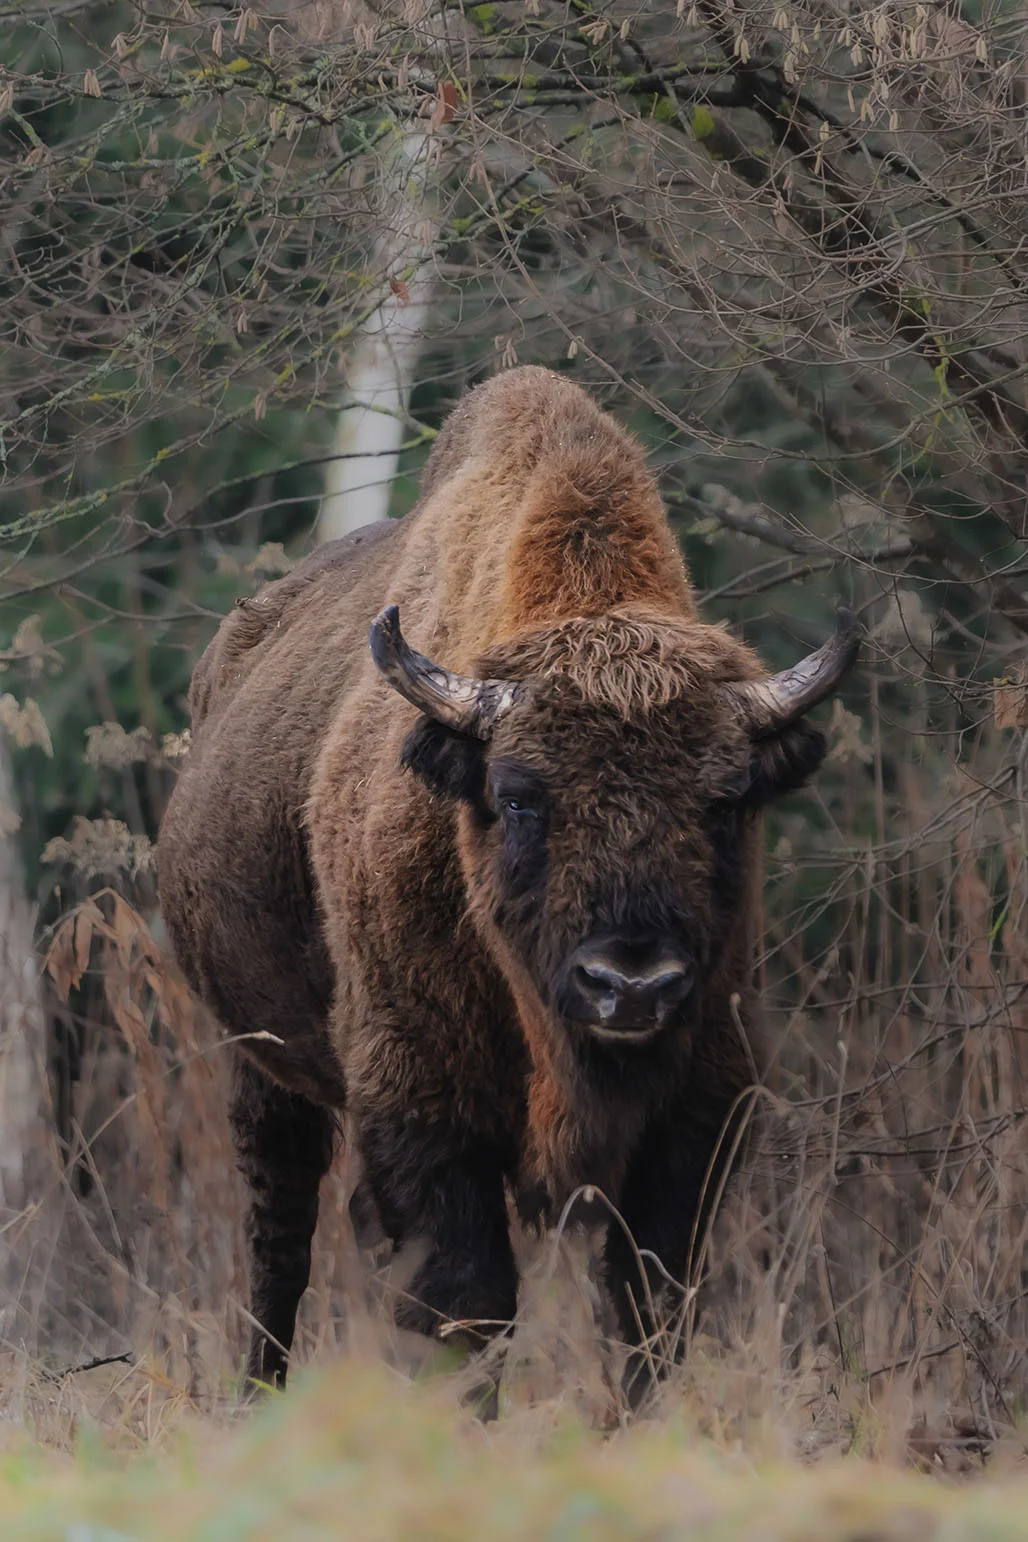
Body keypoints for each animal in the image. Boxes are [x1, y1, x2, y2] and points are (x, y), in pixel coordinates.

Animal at [157, 366, 858, 1400]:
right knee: (279, 1240)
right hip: (261, 1064)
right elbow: (467, 1299)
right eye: (519, 796)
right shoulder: (422, 1102)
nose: (630, 985)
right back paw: (257, 1396)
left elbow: (648, 1301)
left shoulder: (703, 1103)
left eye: (727, 801)